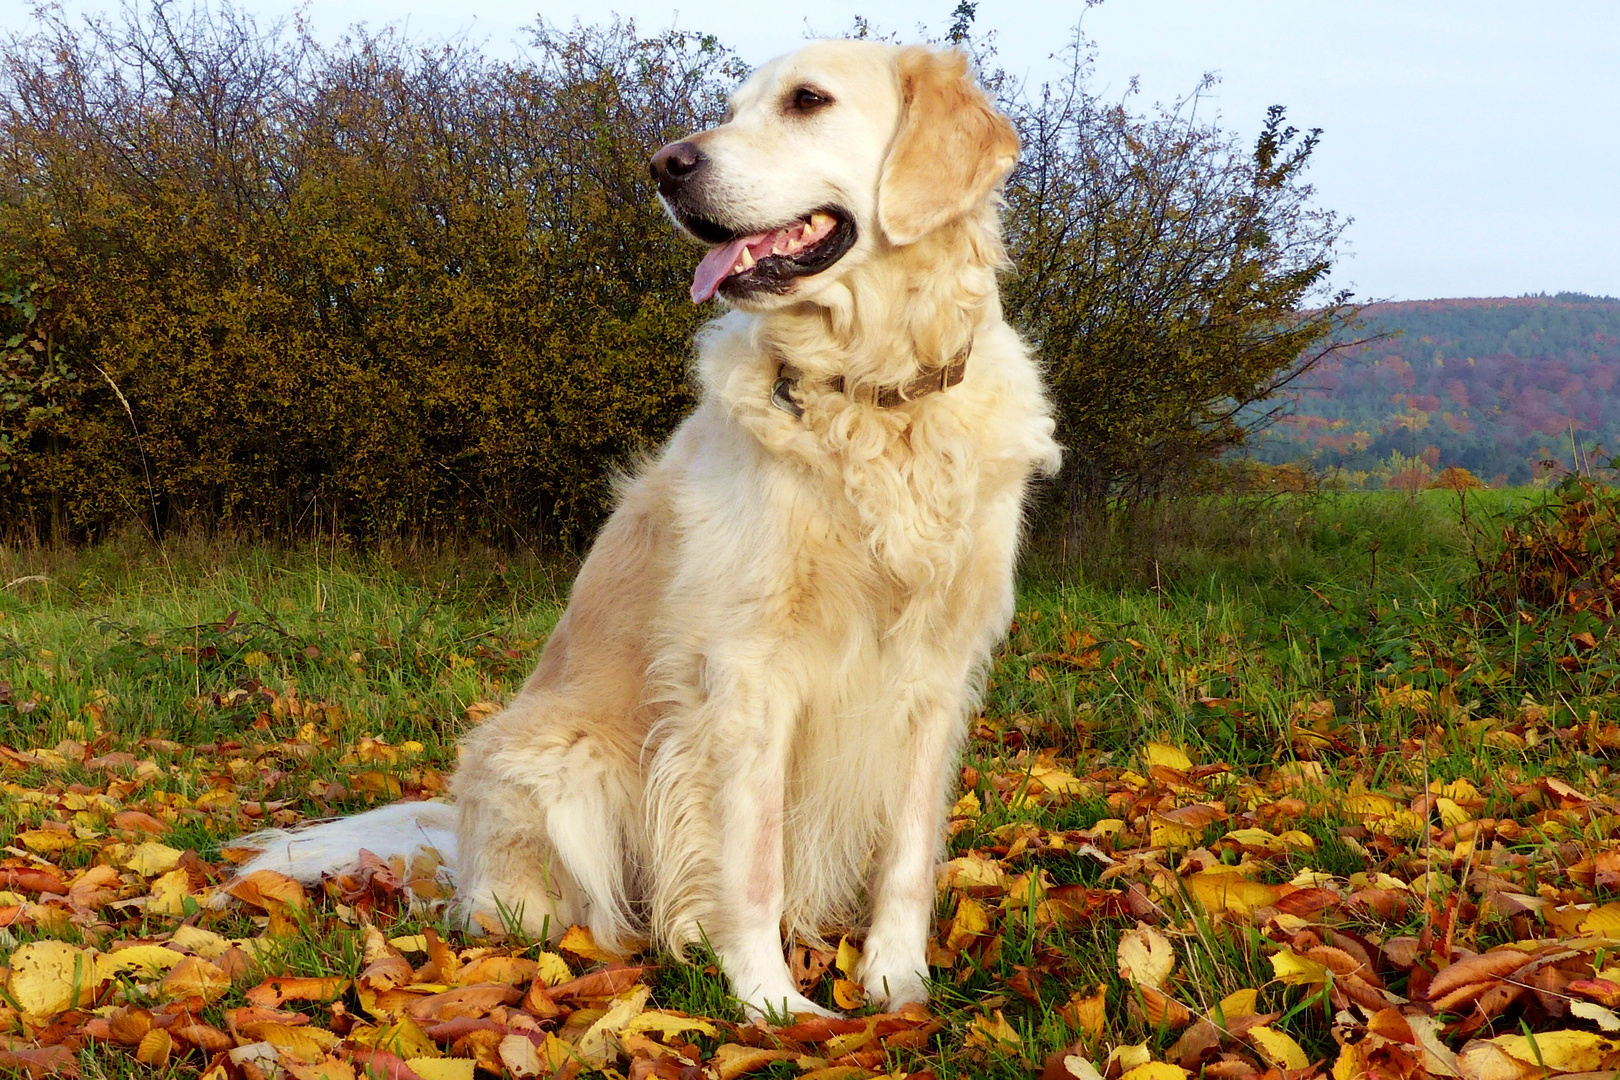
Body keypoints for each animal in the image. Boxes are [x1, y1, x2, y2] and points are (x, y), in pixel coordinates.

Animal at [231, 40, 1062, 1023]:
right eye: (731, 108)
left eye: (807, 100)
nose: (666, 164)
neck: (873, 396)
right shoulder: (745, 678)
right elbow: (750, 868)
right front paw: (772, 1006)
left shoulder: (934, 673)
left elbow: (905, 855)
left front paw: (897, 987)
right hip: (564, 767)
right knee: (530, 911)